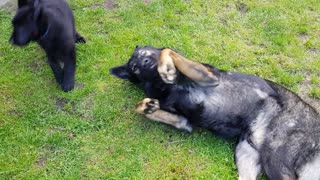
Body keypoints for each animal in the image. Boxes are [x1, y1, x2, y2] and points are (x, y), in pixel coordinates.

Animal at [111, 45, 320, 179]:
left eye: (145, 54)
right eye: (135, 68)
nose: (145, 62)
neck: (164, 87)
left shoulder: (209, 77)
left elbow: (167, 51)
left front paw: (167, 69)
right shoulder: (184, 122)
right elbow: (144, 107)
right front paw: (147, 106)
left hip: (275, 158)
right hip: (247, 154)